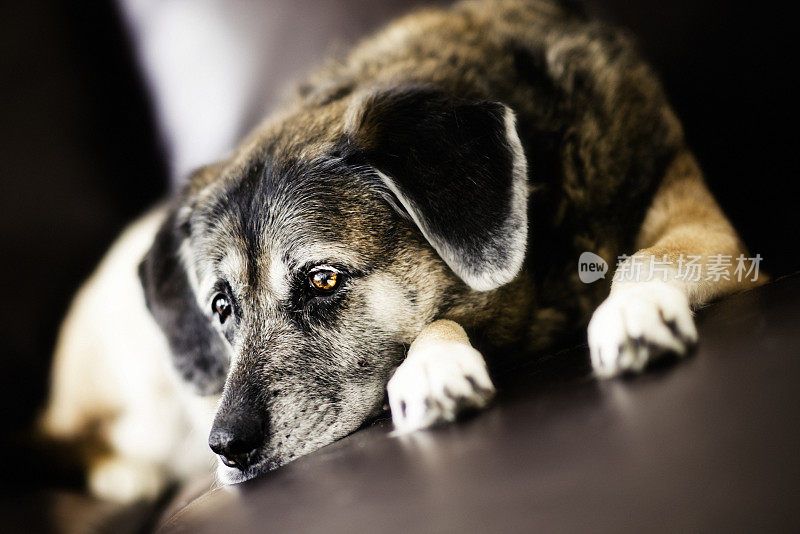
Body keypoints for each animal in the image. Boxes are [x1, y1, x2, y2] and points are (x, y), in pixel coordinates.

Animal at [39, 0, 764, 504]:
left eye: (323, 280)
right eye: (221, 307)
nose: (227, 447)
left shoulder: (702, 223)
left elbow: (649, 259)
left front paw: (631, 312)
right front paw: (432, 369)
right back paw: (125, 477)